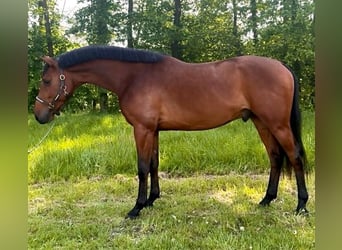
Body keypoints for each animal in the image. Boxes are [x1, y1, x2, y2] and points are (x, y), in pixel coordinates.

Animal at [33, 46, 308, 218]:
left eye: (46, 81)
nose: (39, 115)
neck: (134, 77)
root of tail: (282, 67)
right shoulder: (153, 130)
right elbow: (154, 164)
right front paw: (152, 200)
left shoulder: (142, 129)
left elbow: (142, 167)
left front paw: (137, 208)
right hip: (262, 123)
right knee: (275, 157)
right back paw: (267, 199)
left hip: (278, 125)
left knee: (294, 157)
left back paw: (301, 206)